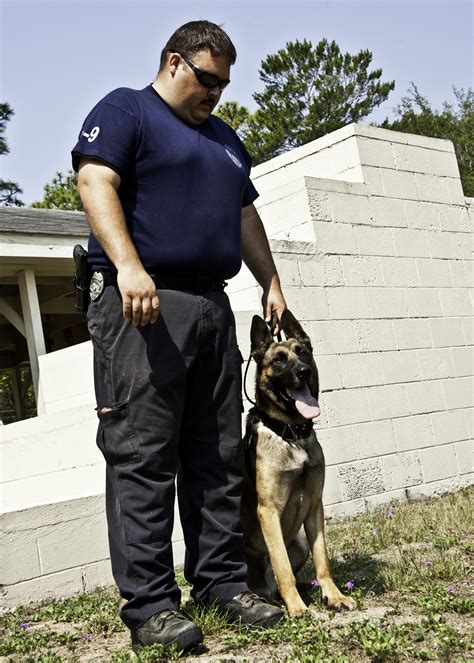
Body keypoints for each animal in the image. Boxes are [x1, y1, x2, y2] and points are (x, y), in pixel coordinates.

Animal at [241, 310, 356, 616]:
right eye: (278, 360)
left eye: (302, 352)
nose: (303, 371)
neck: (291, 434)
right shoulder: (268, 511)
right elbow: (282, 567)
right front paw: (297, 608)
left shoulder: (315, 505)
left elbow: (323, 560)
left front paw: (334, 595)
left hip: (300, 543)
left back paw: (309, 588)